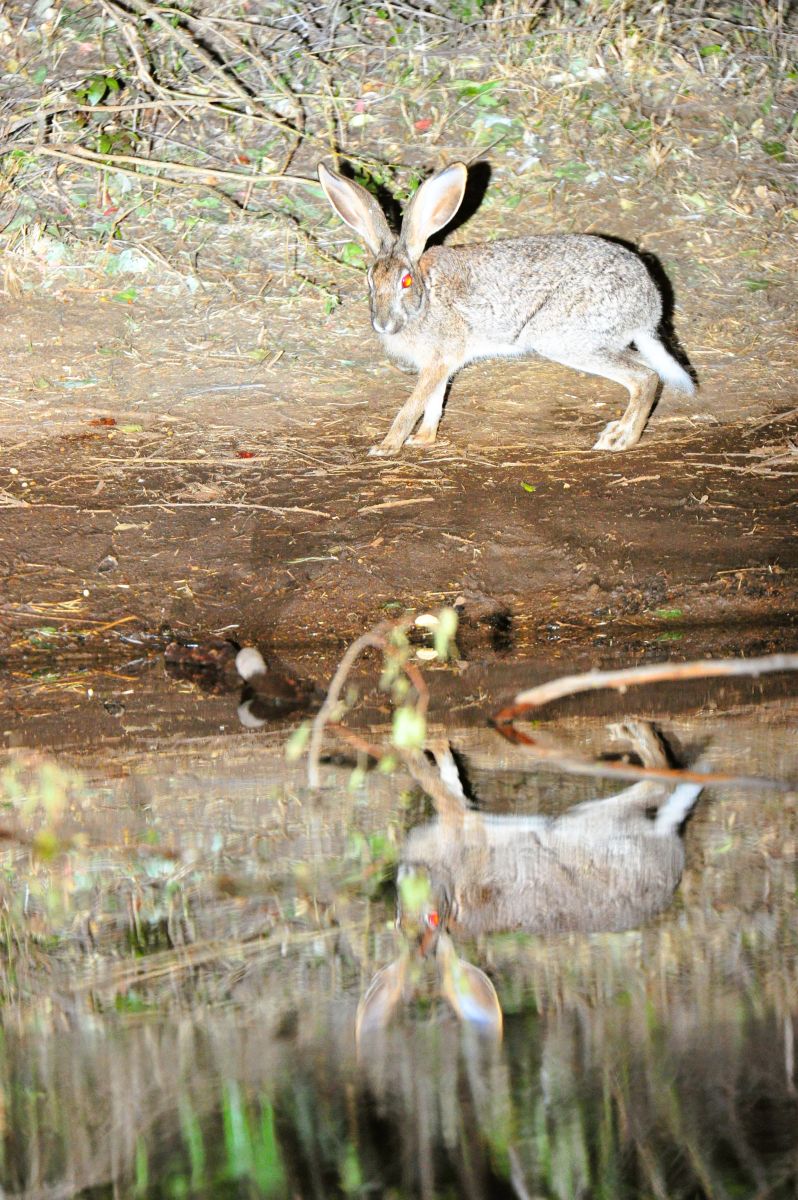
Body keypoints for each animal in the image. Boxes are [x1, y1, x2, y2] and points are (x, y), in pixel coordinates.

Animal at [317, 160, 695, 457]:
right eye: (369, 279)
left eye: (405, 282)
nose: (382, 324)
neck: (425, 300)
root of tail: (649, 306)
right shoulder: (442, 365)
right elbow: (434, 404)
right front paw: (423, 440)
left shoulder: (438, 359)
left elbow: (413, 405)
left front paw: (387, 446)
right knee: (650, 371)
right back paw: (619, 429)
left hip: (566, 339)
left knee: (644, 378)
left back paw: (621, 440)